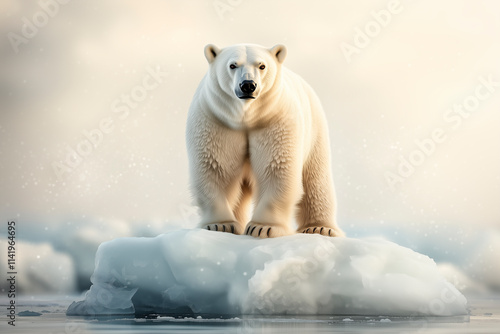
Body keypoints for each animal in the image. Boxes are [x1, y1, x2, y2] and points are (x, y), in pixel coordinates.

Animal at [186, 43, 346, 239]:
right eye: (232, 65)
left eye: (262, 66)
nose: (248, 85)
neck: (246, 117)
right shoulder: (216, 121)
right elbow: (215, 167)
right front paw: (220, 225)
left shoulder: (275, 120)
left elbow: (276, 167)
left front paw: (263, 227)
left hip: (315, 130)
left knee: (315, 180)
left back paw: (321, 228)